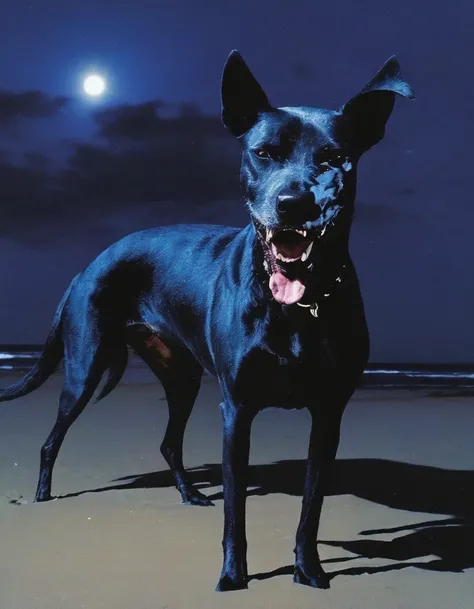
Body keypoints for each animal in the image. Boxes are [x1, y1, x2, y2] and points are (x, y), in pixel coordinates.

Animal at [0, 51, 414, 588]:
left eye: (332, 159)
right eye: (263, 153)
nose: (293, 206)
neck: (295, 302)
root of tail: (88, 264)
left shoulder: (328, 415)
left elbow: (311, 507)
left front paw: (308, 570)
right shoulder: (237, 411)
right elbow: (236, 509)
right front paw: (233, 575)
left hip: (183, 379)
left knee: (169, 445)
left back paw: (190, 494)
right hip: (84, 369)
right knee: (52, 440)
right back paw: (43, 496)